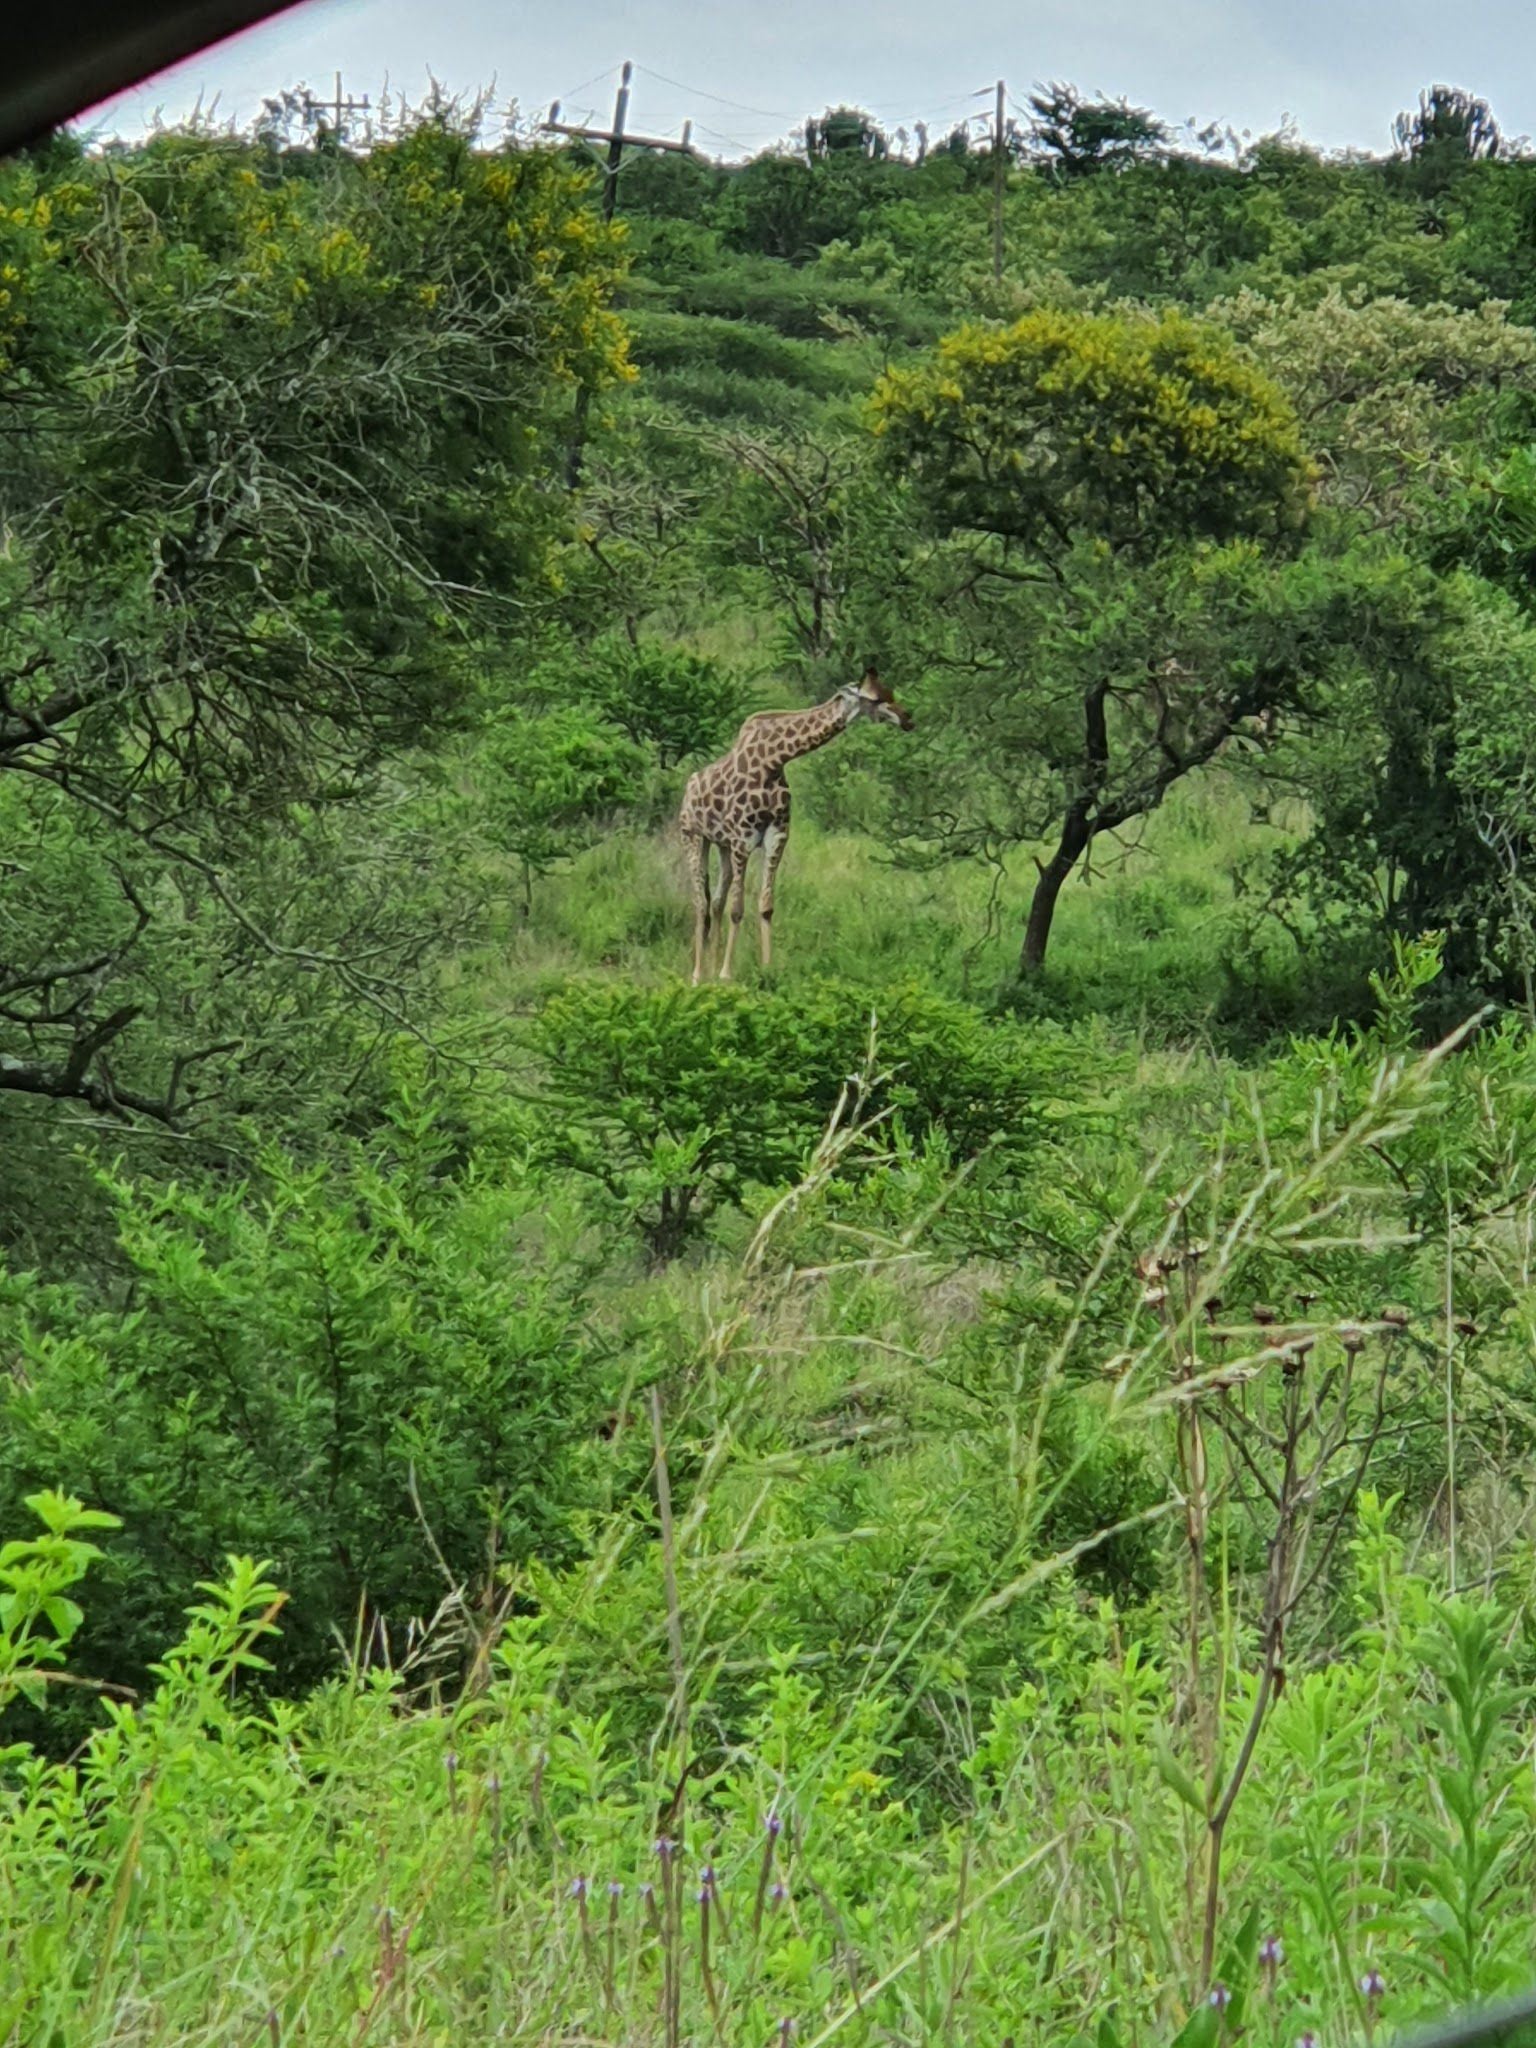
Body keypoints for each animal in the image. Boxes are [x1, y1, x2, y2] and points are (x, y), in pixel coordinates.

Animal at [675, 663, 913, 983]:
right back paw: (699, 975)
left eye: (890, 691)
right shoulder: (743, 839)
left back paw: (710, 969)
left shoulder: (776, 835)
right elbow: (738, 909)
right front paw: (727, 975)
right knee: (700, 902)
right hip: (693, 835)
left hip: (721, 844)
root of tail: (689, 788)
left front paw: (767, 969)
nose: (907, 718)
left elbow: (765, 906)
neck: (774, 761)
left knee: (715, 901)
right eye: (875, 699)